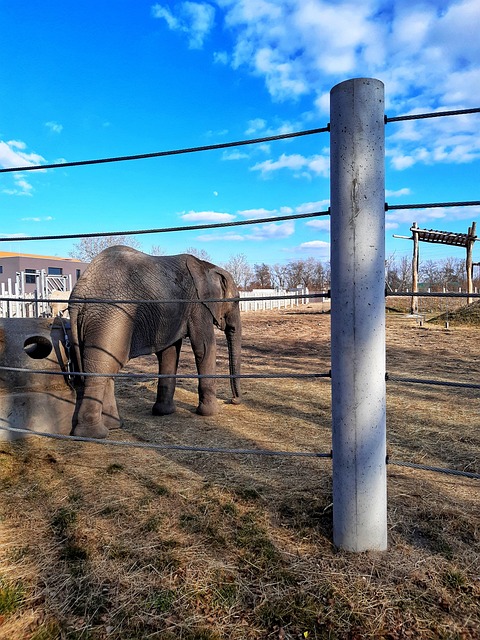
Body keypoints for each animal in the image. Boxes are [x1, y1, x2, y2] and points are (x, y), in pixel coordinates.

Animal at [68, 245, 242, 438]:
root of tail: (77, 298)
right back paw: (93, 434)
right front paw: (210, 413)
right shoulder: (198, 305)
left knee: (108, 367)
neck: (208, 266)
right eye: (236, 302)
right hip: (109, 316)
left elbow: (169, 352)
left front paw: (164, 412)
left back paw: (113, 426)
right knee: (101, 369)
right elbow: (204, 348)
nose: (234, 400)